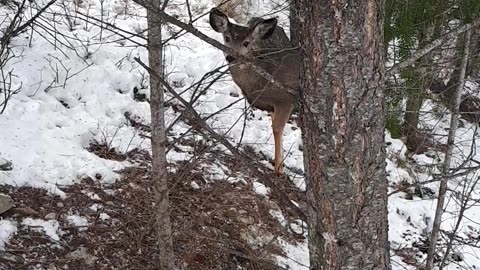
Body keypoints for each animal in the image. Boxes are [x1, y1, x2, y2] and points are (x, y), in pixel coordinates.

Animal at [210, 7, 300, 175]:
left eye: (246, 43)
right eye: (226, 38)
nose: (231, 57)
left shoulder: (286, 100)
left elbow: (277, 129)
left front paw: (278, 169)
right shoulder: (271, 106)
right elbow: (275, 127)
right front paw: (280, 164)